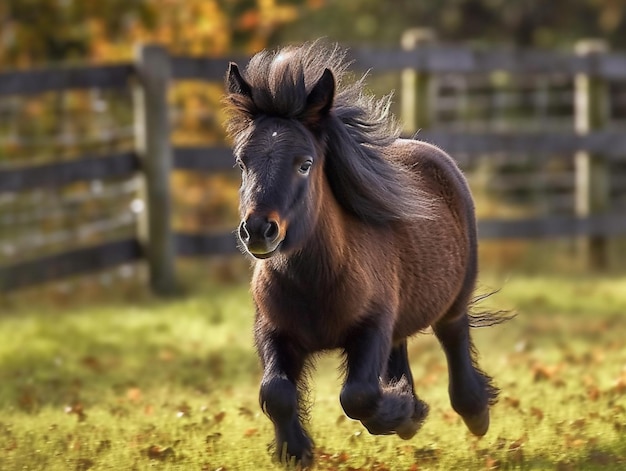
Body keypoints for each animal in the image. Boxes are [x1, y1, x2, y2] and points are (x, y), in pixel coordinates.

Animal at [223, 41, 498, 468]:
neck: (313, 283)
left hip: (453, 298)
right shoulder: (272, 329)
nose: (257, 230)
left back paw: (473, 411)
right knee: (402, 346)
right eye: (242, 161)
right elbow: (276, 392)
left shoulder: (370, 327)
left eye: (305, 164)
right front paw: (295, 451)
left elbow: (357, 395)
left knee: (453, 336)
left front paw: (402, 412)